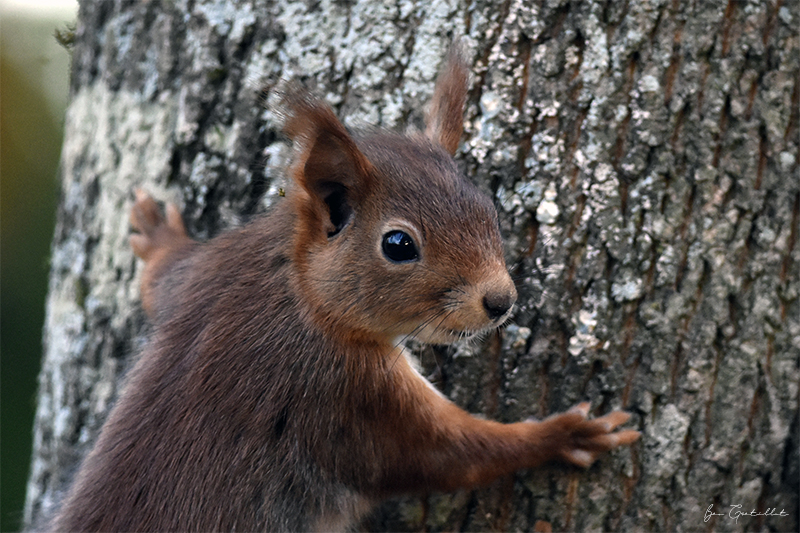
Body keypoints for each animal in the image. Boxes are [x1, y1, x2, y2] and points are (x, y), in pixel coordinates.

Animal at [51, 47, 636, 528]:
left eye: (487, 209)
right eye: (398, 245)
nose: (501, 302)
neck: (297, 292)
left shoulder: (209, 271)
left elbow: (166, 276)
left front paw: (157, 235)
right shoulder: (346, 397)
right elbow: (447, 457)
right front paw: (563, 435)